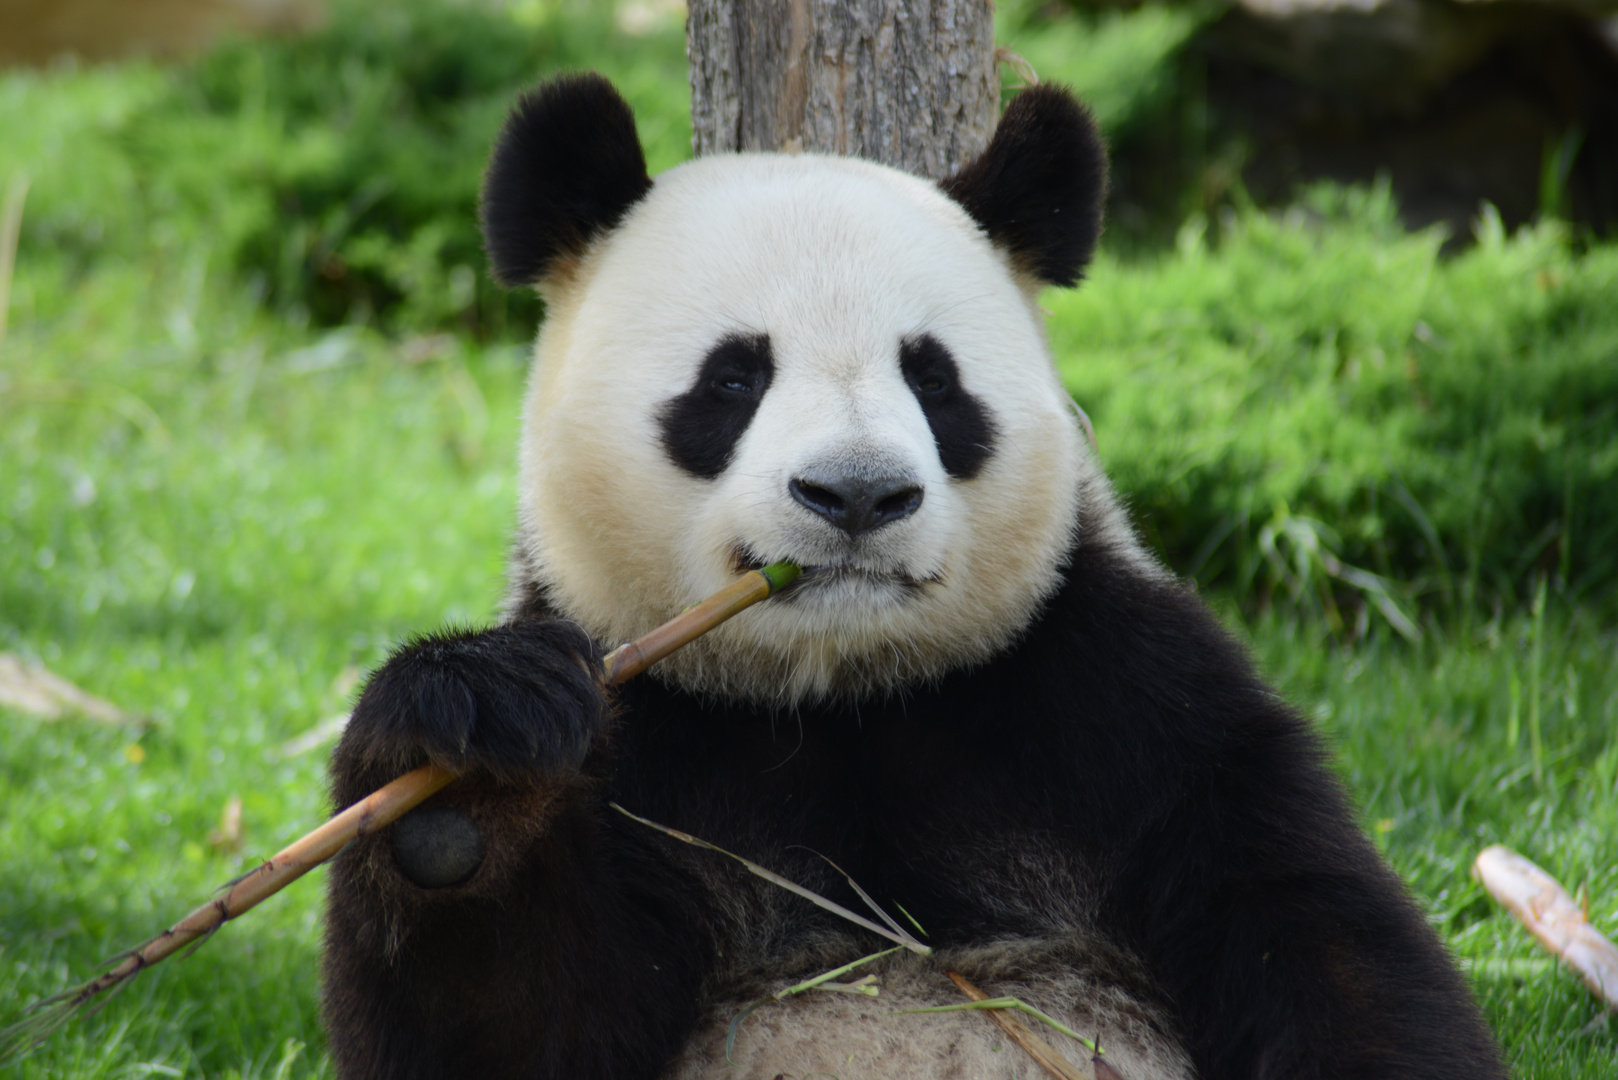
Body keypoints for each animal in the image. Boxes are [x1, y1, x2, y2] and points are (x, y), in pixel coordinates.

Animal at [321, 76, 1507, 1080]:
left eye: (935, 380)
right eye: (734, 378)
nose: (856, 495)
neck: (842, 693)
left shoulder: (1124, 701)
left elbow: (1322, 940)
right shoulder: (649, 738)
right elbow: (504, 1024)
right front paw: (465, 777)